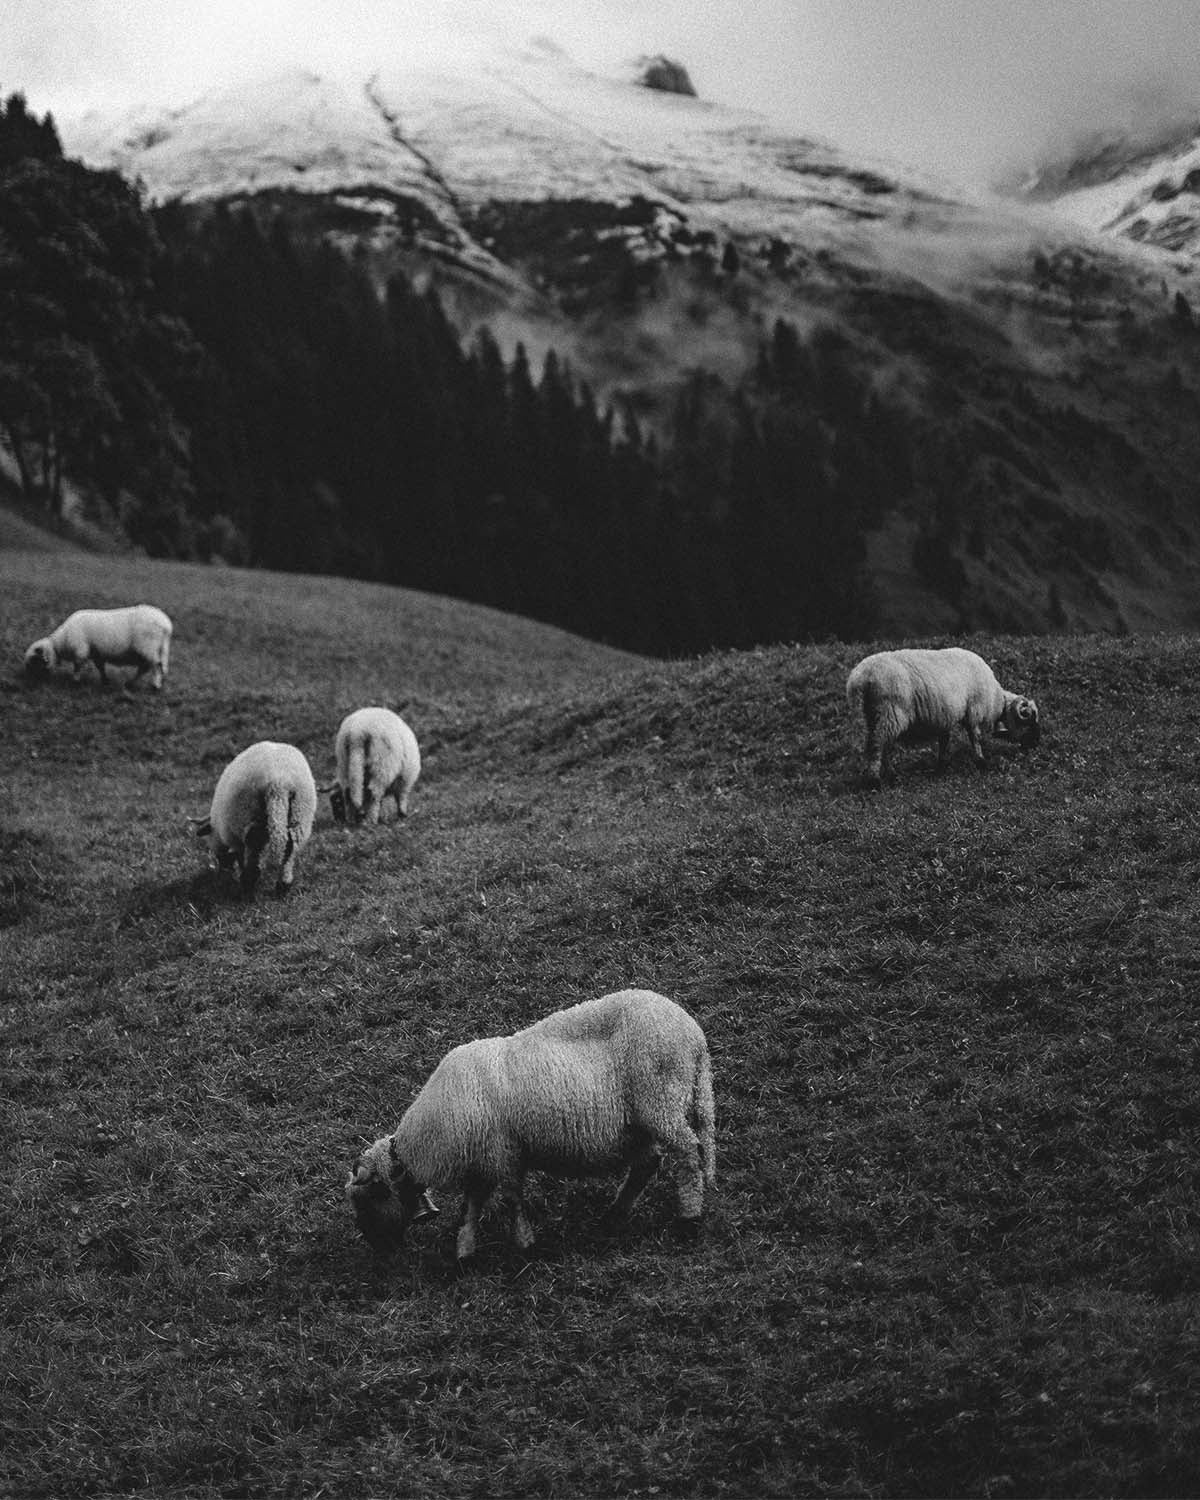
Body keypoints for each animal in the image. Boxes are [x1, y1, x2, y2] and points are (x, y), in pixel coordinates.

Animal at [23, 605, 172, 691]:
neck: (60, 643)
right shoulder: (96, 654)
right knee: (145, 668)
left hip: (148, 648)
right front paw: (105, 681)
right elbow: (100, 667)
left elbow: (77, 666)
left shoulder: (80, 651)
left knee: (156, 666)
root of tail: (166, 625)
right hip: (153, 650)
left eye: (35, 661)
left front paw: (75, 681)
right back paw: (130, 683)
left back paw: (155, 686)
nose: (29, 682)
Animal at [188, 741, 317, 896]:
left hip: (249, 814)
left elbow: (240, 855)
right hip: (299, 812)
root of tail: (278, 781)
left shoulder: (235, 837)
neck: (217, 828)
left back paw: (248, 884)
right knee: (289, 844)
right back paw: (283, 885)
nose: (224, 870)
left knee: (254, 843)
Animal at [347, 988, 715, 1263]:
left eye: (367, 1199)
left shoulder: (503, 1155)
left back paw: (689, 1217)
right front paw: (464, 1254)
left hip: (661, 1101)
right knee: (648, 1163)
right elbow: (470, 1209)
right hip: (641, 1122)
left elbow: (512, 1199)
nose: (378, 1249)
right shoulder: (482, 1164)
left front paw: (525, 1245)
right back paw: (615, 1214)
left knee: (688, 1152)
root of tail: (694, 1033)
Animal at [846, 646, 1040, 788]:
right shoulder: (973, 711)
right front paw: (981, 761)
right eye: (1029, 722)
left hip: (874, 714)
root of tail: (862, 674)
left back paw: (892, 776)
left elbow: (944, 740)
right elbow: (975, 737)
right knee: (878, 745)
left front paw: (942, 765)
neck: (996, 699)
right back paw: (875, 781)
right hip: (890, 712)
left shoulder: (945, 716)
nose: (1035, 744)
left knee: (881, 745)